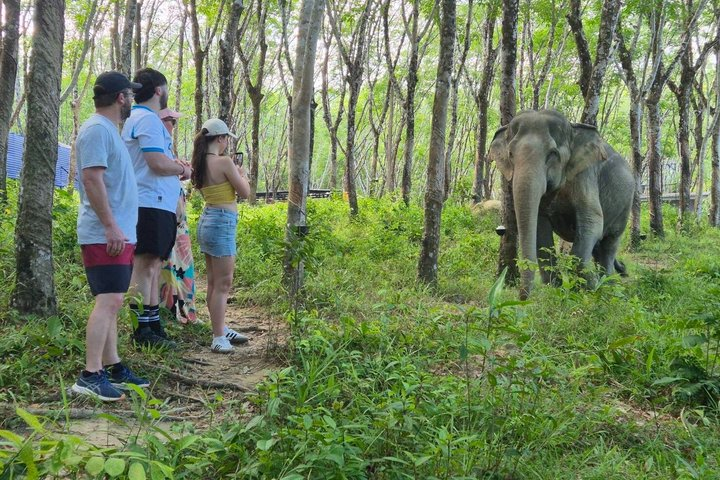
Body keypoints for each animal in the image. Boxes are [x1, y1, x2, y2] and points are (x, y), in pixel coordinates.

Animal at [488, 110, 634, 299]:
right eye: (511, 154)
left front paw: (585, 291)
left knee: (609, 244)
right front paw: (556, 291)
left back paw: (609, 290)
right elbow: (540, 230)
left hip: (625, 206)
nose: (522, 299)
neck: (573, 130)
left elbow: (592, 221)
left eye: (552, 153)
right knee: (598, 248)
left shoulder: (585, 174)